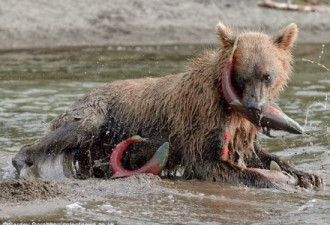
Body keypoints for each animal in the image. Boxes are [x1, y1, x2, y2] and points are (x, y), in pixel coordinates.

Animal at [12, 22, 324, 188]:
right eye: (242, 77)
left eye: (267, 75)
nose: (256, 107)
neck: (225, 102)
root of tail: (84, 94)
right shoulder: (200, 119)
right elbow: (210, 162)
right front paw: (275, 179)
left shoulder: (239, 128)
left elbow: (256, 152)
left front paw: (307, 174)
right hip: (96, 114)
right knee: (69, 132)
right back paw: (22, 163)